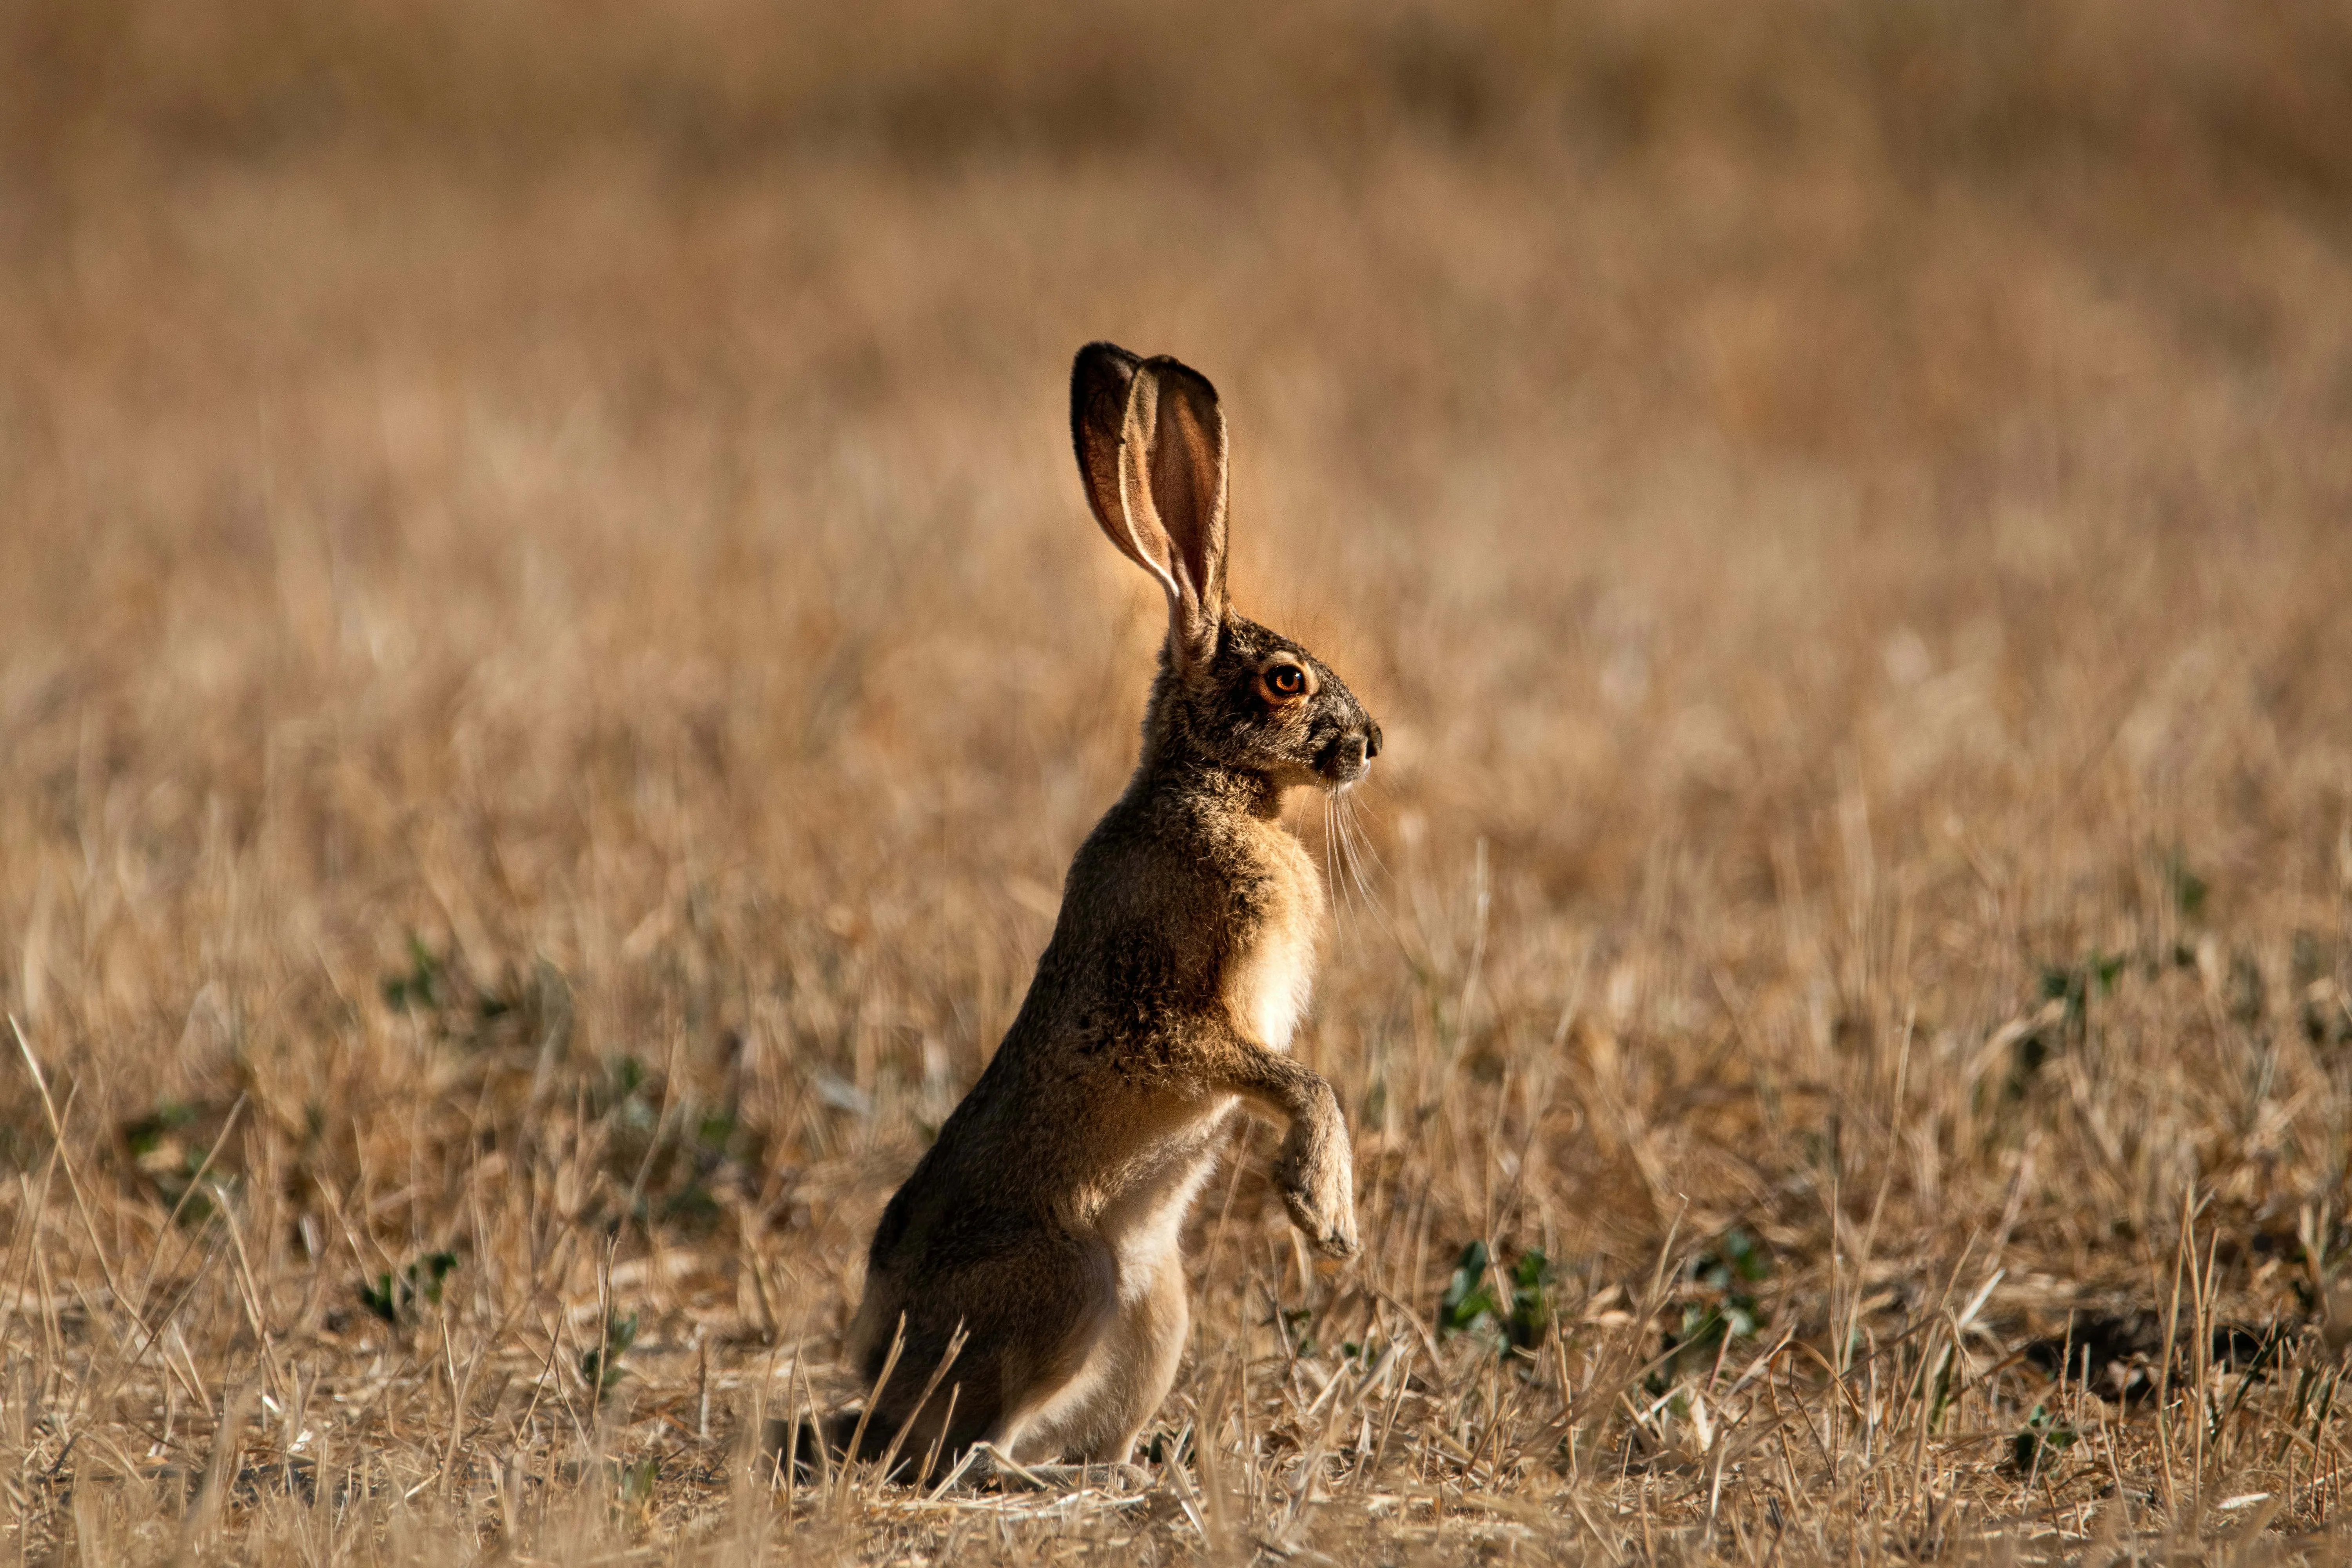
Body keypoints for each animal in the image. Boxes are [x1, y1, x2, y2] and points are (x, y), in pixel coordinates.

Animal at [805, 342, 1382, 1482]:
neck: (1209, 787)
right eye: (1284, 680)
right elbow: (1303, 1082)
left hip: (1158, 1305)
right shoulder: (1163, 1014)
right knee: (951, 1446)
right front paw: (1323, 1213)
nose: (1373, 742)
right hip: (1065, 1288)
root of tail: (877, 1356)